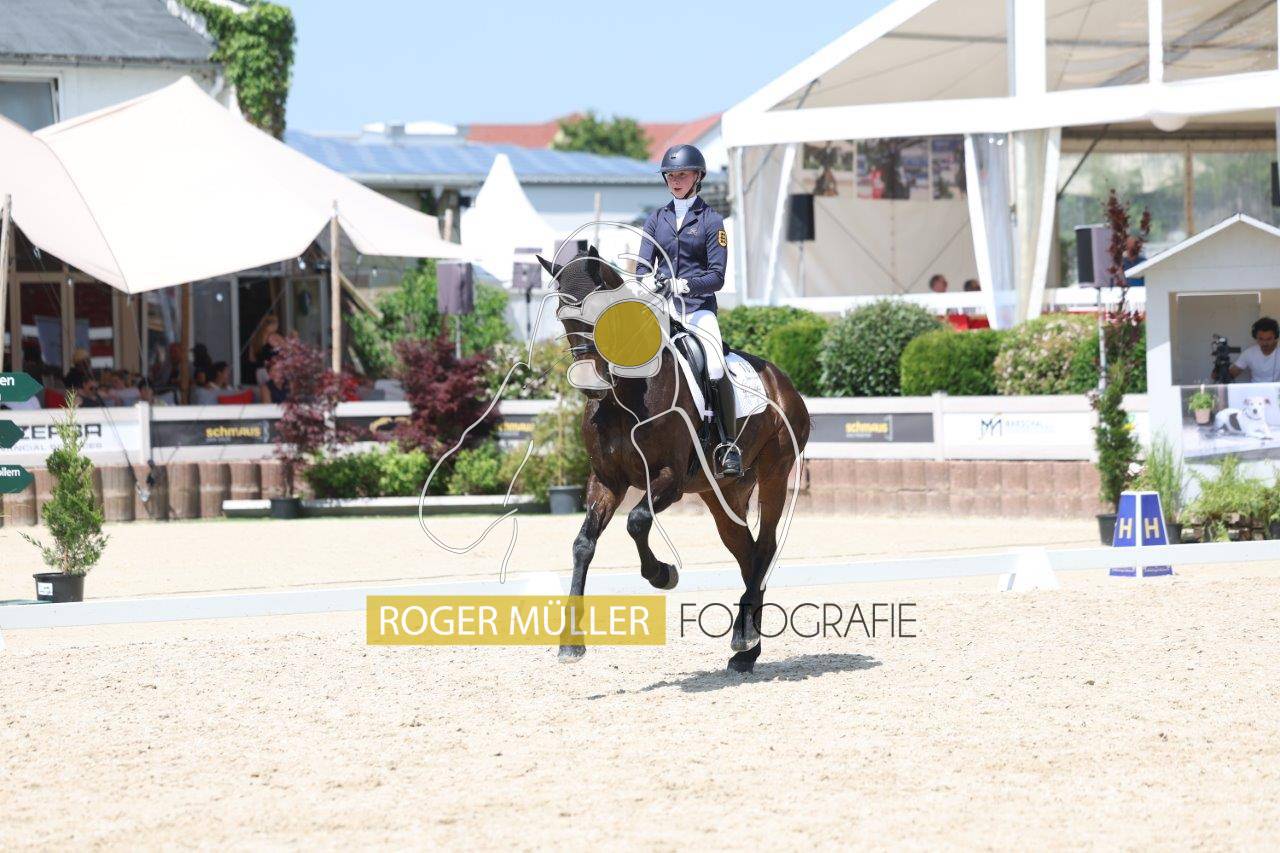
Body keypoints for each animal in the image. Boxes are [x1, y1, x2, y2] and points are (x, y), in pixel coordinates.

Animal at [537, 247, 811, 673]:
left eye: (600, 313)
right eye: (563, 316)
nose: (589, 384)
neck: (626, 394)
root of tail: (783, 384)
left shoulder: (670, 478)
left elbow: (636, 521)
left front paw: (662, 574)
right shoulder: (606, 480)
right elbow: (583, 544)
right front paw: (571, 644)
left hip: (774, 474)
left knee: (764, 546)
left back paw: (745, 638)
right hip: (722, 493)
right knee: (748, 553)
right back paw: (746, 649)